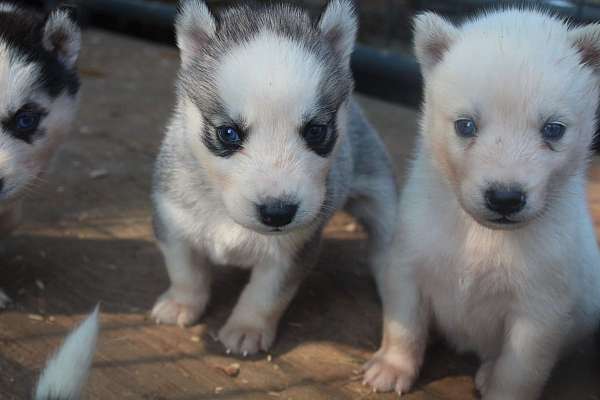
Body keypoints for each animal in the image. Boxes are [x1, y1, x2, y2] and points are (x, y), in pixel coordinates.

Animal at [151, 0, 398, 356]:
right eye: (228, 133)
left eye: (316, 131)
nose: (278, 213)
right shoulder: (173, 219)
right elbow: (185, 270)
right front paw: (182, 303)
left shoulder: (294, 249)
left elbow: (266, 295)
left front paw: (247, 328)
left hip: (379, 193)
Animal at [364, 7, 600, 398]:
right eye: (466, 125)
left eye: (553, 129)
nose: (505, 198)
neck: (480, 235)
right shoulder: (410, 255)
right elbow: (404, 320)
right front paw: (390, 368)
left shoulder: (541, 304)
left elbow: (520, 368)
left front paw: (500, 388)